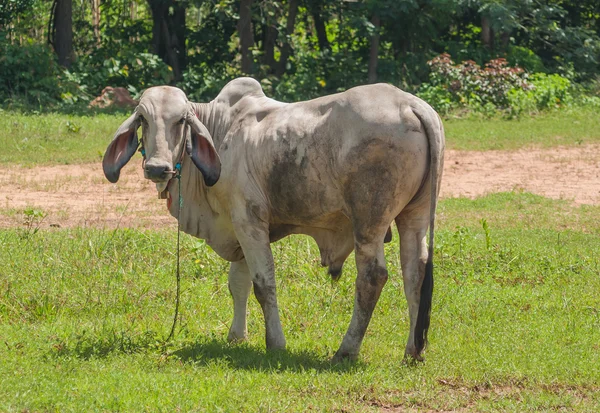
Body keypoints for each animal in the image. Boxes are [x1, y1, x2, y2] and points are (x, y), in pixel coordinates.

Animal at [101, 77, 442, 360]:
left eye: (181, 119)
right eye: (143, 119)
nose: (157, 168)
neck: (221, 129)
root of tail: (411, 103)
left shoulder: (249, 220)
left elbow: (263, 284)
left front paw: (275, 343)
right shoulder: (237, 225)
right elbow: (237, 283)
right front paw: (236, 336)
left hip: (369, 221)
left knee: (372, 276)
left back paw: (346, 351)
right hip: (415, 216)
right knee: (415, 272)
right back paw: (412, 352)